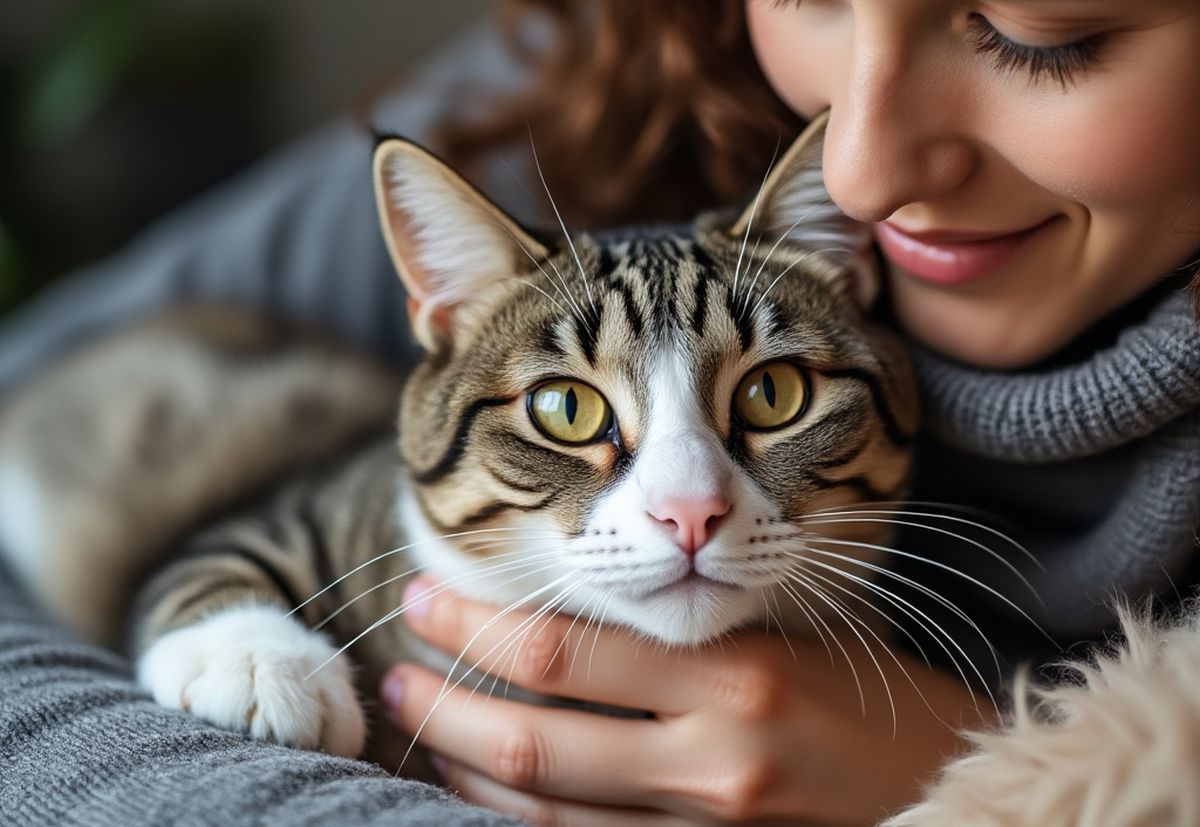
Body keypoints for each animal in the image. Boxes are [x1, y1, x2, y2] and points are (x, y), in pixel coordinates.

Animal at [0, 111, 916, 768]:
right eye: (566, 408)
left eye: (773, 393)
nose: (689, 512)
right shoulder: (289, 502)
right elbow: (209, 551)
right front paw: (259, 667)